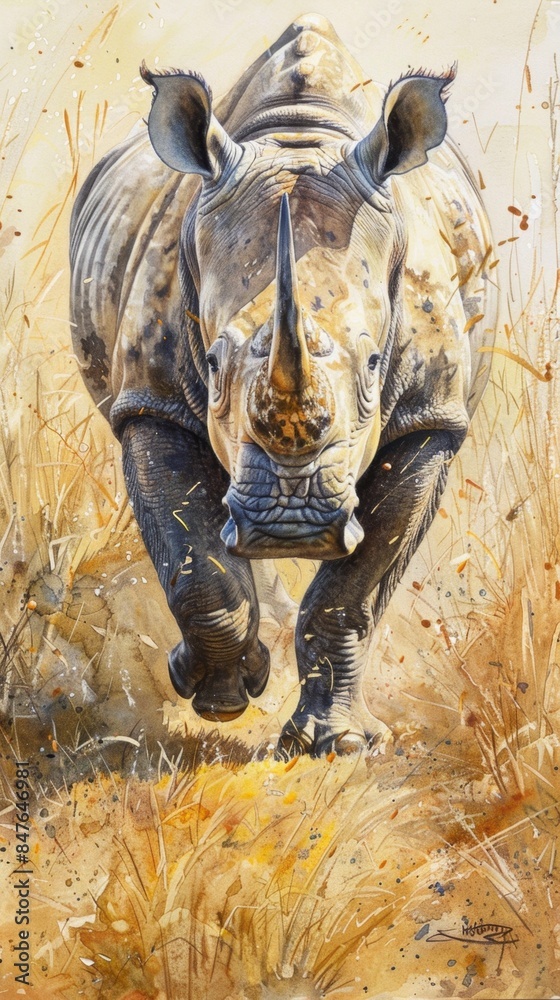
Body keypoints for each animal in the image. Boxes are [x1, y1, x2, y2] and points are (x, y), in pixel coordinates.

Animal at [70, 14, 497, 757]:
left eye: (376, 364)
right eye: (212, 364)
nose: (288, 526)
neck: (299, 136)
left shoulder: (430, 415)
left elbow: (355, 587)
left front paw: (338, 743)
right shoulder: (149, 404)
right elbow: (195, 565)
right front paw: (215, 696)